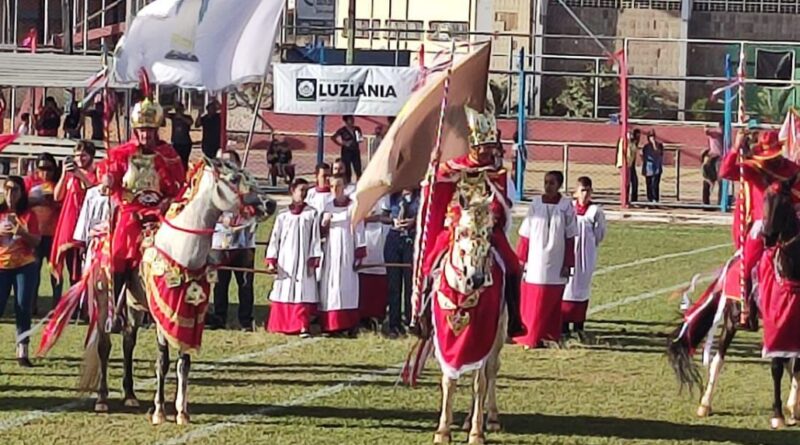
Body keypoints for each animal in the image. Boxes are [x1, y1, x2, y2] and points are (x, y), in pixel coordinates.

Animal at [432, 171, 506, 444]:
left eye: (489, 231)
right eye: (462, 231)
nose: (477, 278)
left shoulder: (484, 338)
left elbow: (480, 383)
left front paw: (477, 432)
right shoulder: (444, 340)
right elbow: (449, 380)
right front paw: (443, 430)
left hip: (498, 335)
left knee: (491, 372)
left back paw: (490, 418)